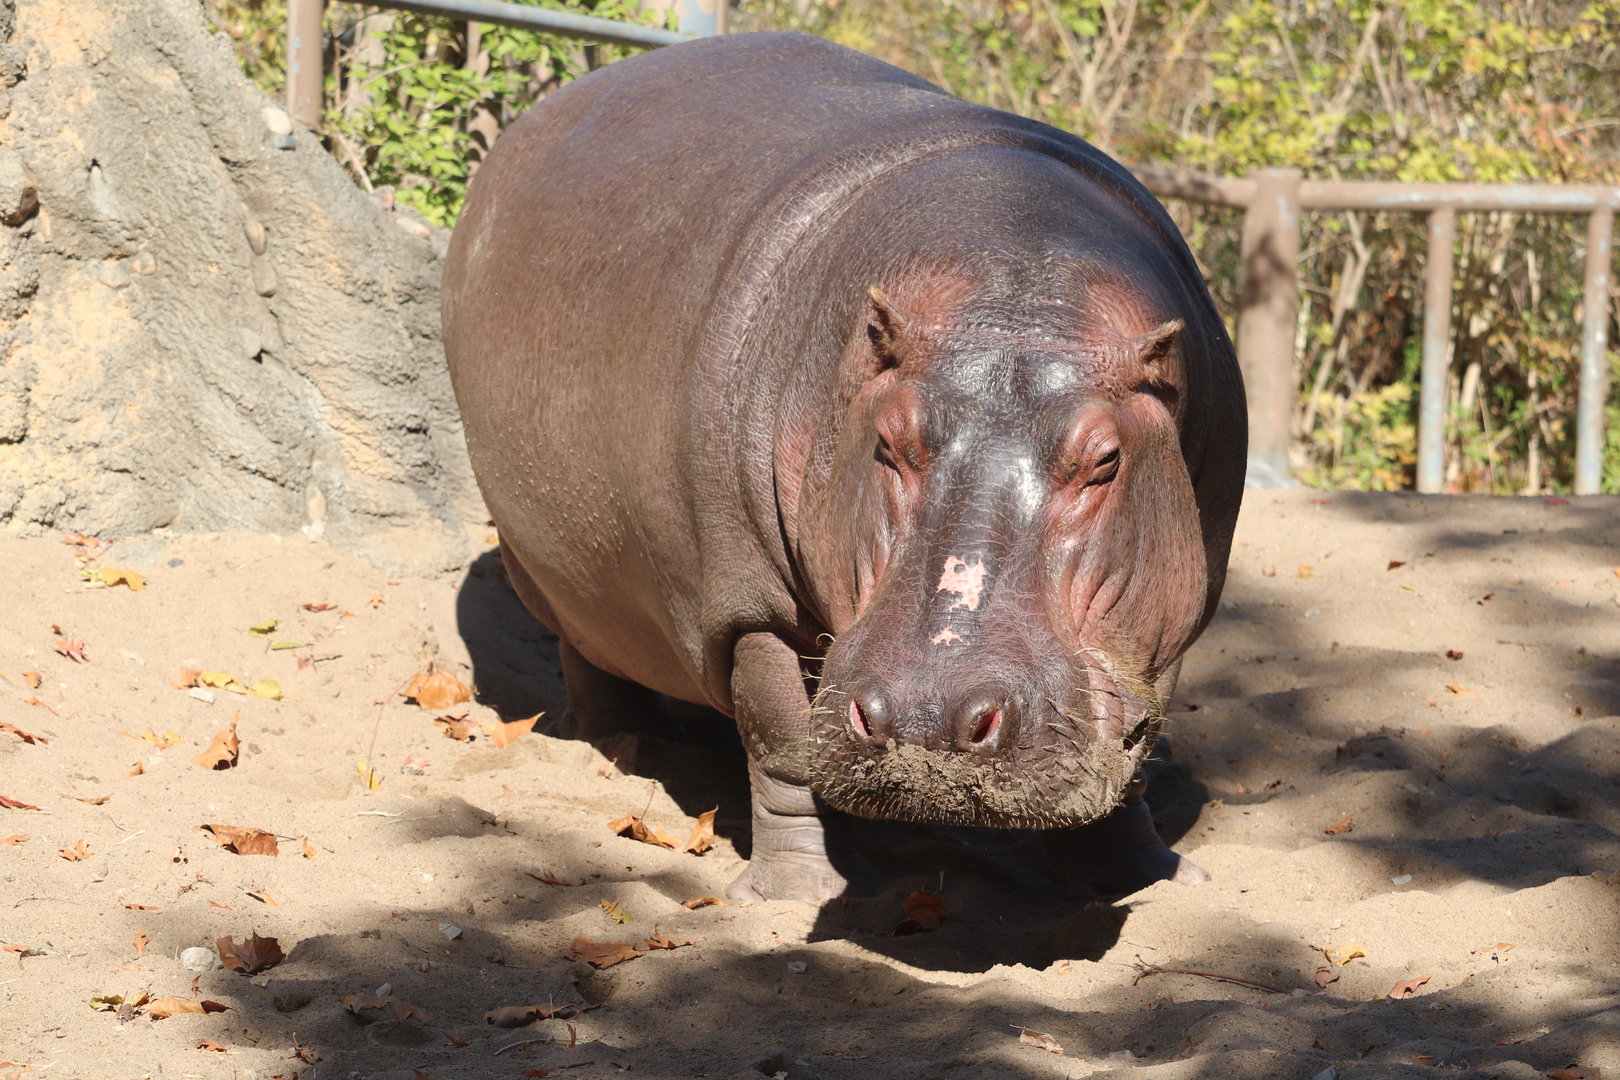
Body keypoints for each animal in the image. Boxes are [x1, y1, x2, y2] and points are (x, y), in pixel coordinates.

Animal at [442, 32, 1245, 901]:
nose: (931, 717)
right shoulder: (749, 604)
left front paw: (1153, 877)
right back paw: (633, 746)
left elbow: (1131, 757)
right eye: (888, 442)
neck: (1020, 289)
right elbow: (782, 746)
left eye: (1104, 460)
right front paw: (792, 893)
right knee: (590, 659)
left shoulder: (1166, 626)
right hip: (548, 567)